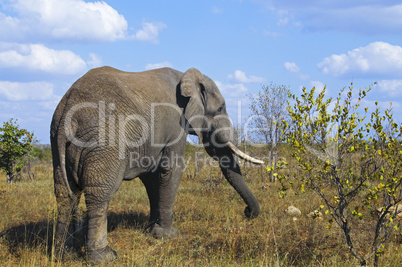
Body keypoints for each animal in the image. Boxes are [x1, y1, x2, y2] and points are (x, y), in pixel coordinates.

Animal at [50, 66, 262, 264]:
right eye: (219, 109)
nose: (246, 213)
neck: (186, 77)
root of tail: (67, 112)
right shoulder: (177, 124)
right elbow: (172, 170)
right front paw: (169, 235)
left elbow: (152, 177)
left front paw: (151, 229)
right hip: (104, 141)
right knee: (100, 193)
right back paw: (104, 257)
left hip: (57, 142)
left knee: (64, 193)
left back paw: (62, 253)